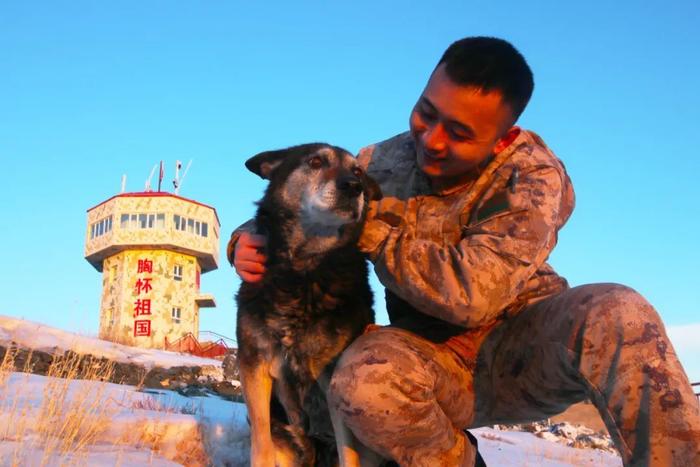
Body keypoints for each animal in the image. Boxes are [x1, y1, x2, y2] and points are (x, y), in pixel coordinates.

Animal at [235, 144, 380, 467]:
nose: (354, 186)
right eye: (315, 161)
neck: (303, 271)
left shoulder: (332, 378)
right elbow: (261, 445)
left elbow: (348, 455)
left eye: (358, 170)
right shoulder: (254, 362)